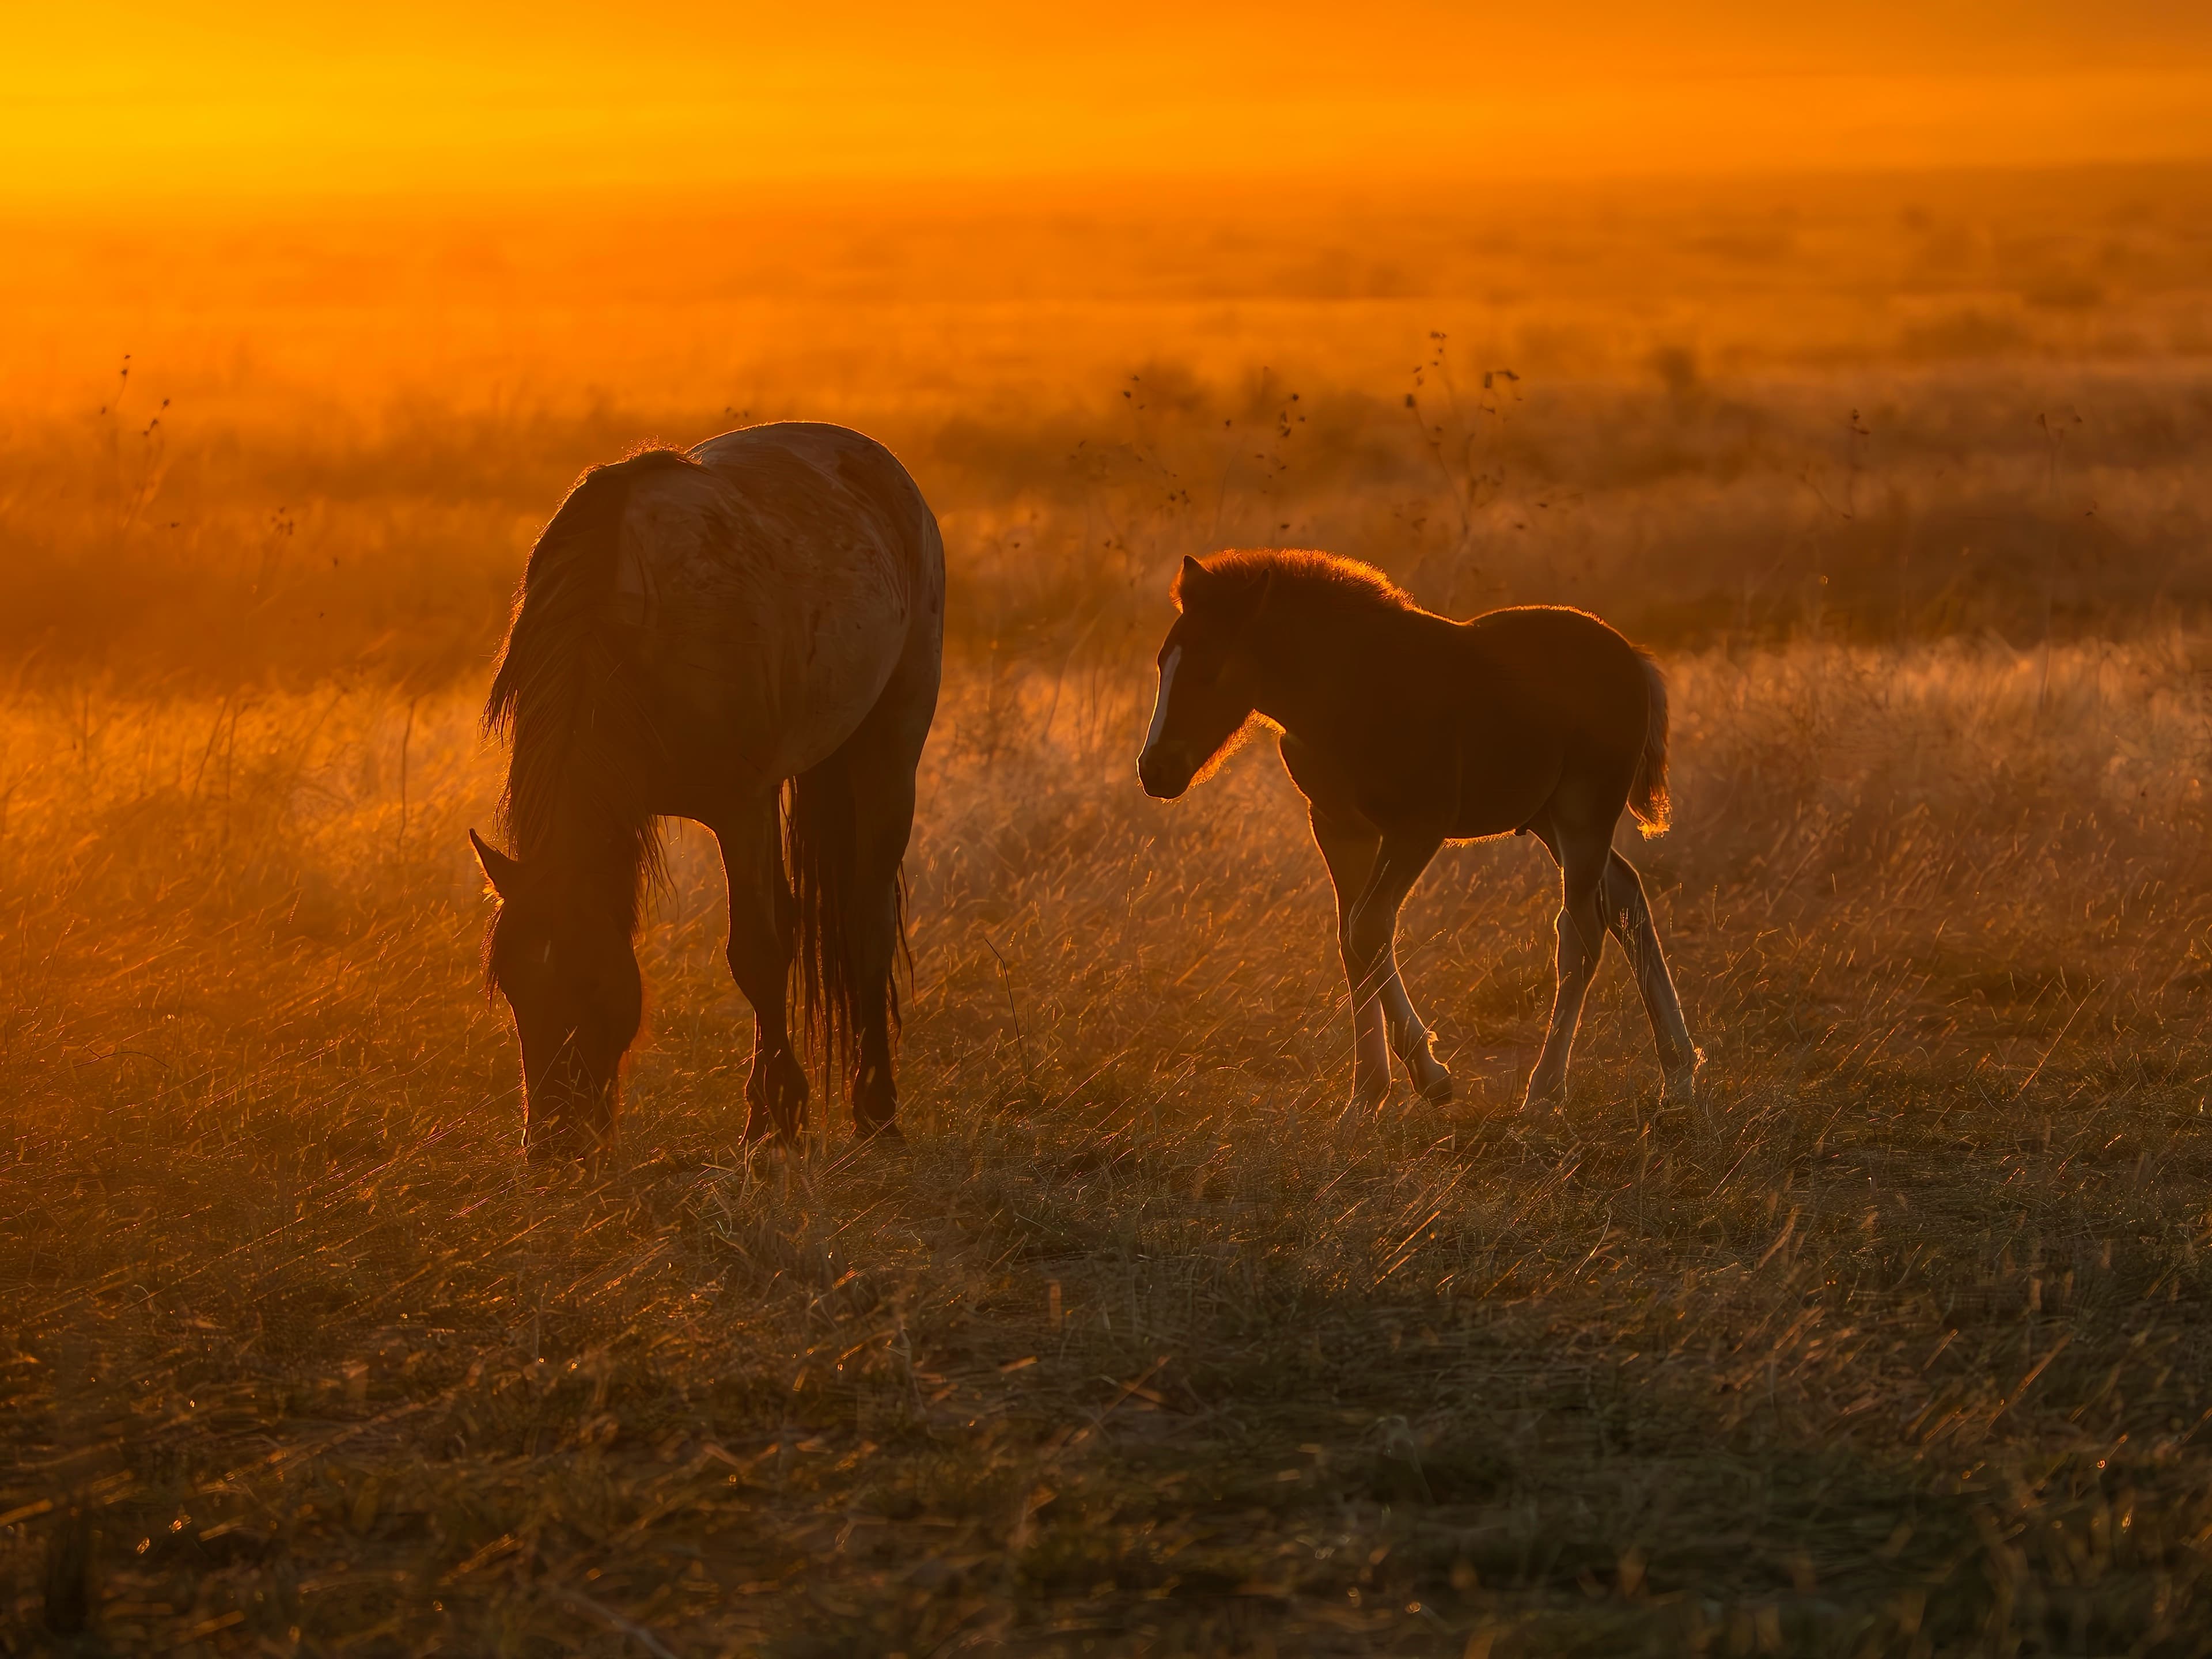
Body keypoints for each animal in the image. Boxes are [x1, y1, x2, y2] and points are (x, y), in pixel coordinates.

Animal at [470, 423, 944, 1159]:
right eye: (512, 986)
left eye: (590, 979)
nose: (553, 1142)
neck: (632, 629)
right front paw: (779, 1110)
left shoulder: (738, 808)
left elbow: (755, 954)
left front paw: (769, 1127)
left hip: (888, 749)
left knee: (867, 918)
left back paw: (876, 1110)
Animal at [1136, 550, 1700, 1113]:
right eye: (1162, 662)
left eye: (1211, 668)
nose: (1154, 769)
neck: (1346, 694)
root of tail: (1631, 657)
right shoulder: (1339, 828)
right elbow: (1352, 941)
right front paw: (1366, 1095)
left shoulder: (1419, 826)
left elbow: (1368, 928)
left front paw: (1430, 1077)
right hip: (1548, 817)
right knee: (1625, 896)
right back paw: (1678, 1073)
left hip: (1583, 811)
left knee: (1582, 932)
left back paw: (1545, 1092)